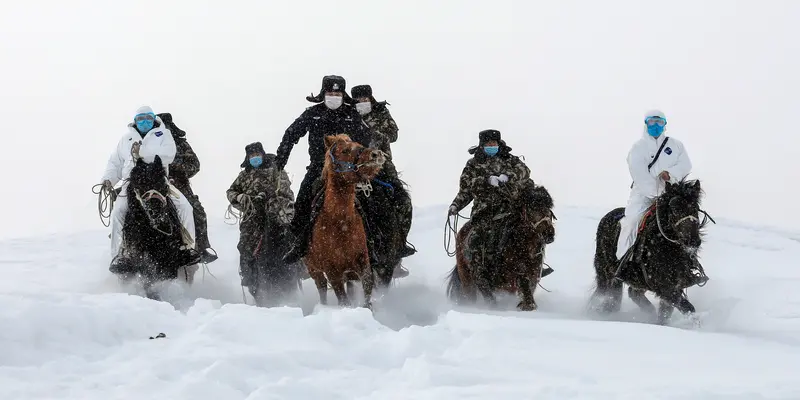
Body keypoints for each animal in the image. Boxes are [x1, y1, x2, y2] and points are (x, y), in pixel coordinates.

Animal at [115, 156, 197, 300]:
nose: (156, 212)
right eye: (139, 186)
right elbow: (148, 282)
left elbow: (166, 278)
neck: (153, 233)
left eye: (163, 185)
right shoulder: (141, 260)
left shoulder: (170, 259)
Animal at [302, 133, 386, 308]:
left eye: (359, 144)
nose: (376, 154)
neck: (340, 222)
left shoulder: (362, 261)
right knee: (322, 289)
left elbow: (367, 286)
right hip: (314, 270)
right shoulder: (332, 271)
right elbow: (342, 298)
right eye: (345, 150)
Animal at [592, 179, 708, 324]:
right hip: (605, 273)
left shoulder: (674, 287)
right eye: (674, 209)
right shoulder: (666, 289)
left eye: (695, 208)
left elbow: (665, 315)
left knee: (632, 293)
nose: (693, 241)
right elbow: (688, 308)